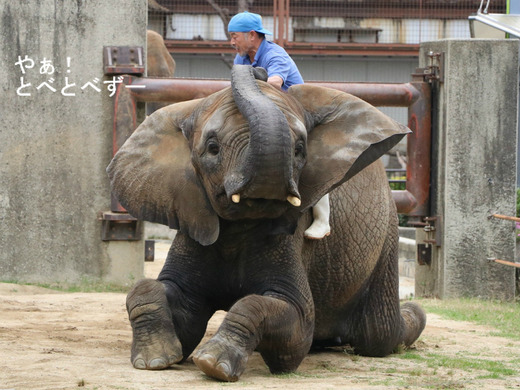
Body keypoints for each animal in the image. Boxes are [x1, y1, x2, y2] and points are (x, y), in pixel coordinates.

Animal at [106, 65, 426, 382]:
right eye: (212, 148)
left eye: (299, 149)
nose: (257, 68)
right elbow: (167, 303)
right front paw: (155, 358)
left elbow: (290, 321)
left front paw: (214, 363)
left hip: (386, 234)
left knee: (377, 335)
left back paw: (409, 314)